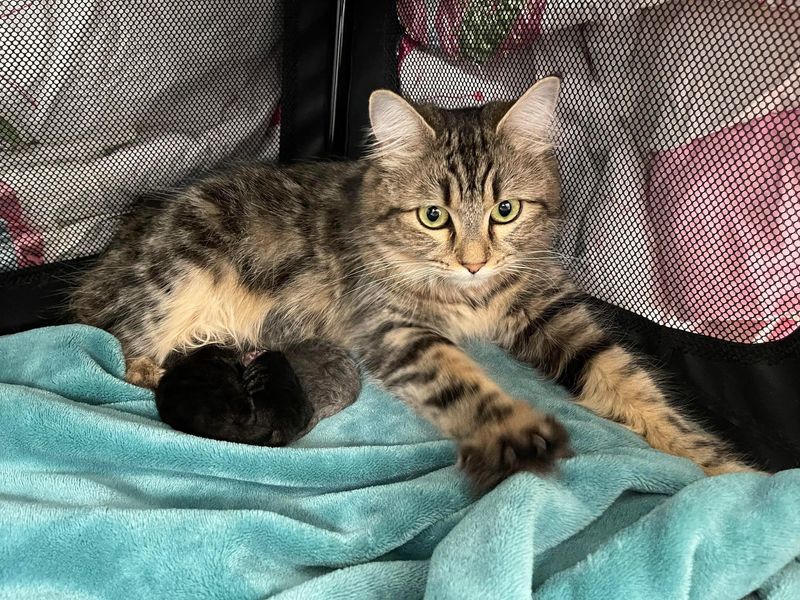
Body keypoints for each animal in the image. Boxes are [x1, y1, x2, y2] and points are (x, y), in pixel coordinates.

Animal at [73, 78, 752, 488]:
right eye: (433, 216)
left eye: (506, 210)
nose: (475, 261)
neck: (472, 294)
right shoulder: (396, 327)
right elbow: (465, 384)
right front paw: (519, 436)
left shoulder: (548, 310)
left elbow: (631, 382)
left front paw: (721, 467)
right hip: (176, 277)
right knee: (126, 343)